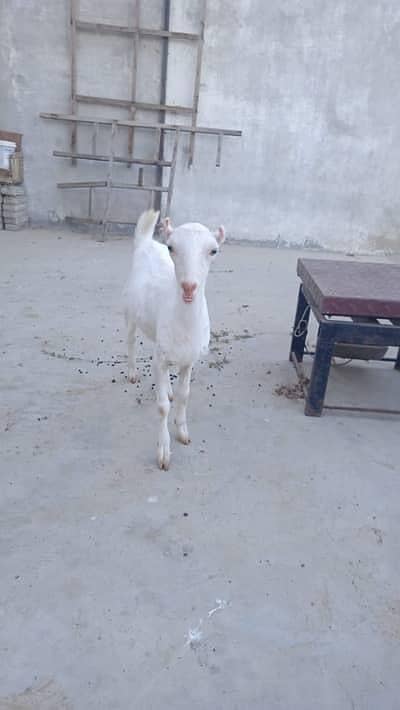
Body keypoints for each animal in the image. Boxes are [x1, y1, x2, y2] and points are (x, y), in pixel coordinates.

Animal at [123, 209, 225, 470]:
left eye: (214, 250)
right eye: (171, 247)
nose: (189, 287)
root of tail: (146, 242)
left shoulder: (189, 359)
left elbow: (184, 395)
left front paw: (182, 432)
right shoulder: (160, 356)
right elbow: (161, 408)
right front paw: (163, 451)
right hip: (129, 311)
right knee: (130, 341)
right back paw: (132, 372)